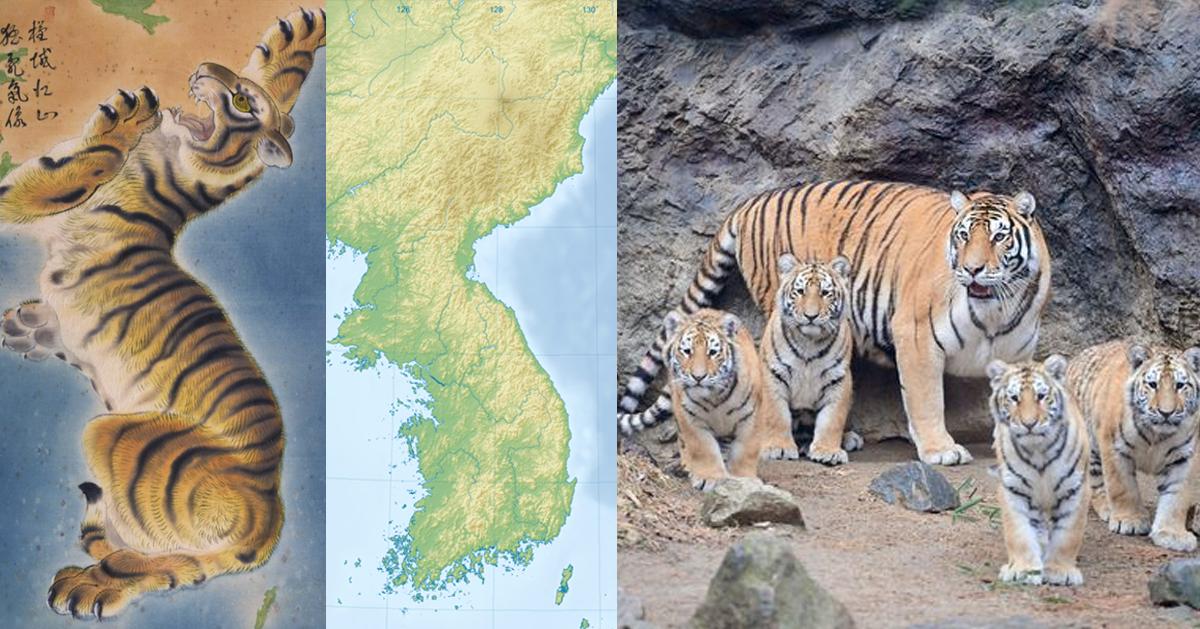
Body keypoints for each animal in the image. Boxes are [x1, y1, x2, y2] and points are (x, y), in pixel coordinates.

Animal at [0, 9, 324, 619]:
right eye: (236, 85)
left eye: (241, 101)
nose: (203, 68)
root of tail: (269, 519)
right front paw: (299, 38)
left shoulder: (39, 203)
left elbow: (77, 168)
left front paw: (125, 117)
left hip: (115, 436)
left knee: (146, 557)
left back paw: (89, 588)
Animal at [619, 309, 770, 490]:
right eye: (687, 351)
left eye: (712, 352)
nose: (698, 377)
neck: (715, 397)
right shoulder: (689, 418)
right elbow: (702, 448)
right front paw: (709, 478)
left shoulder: (752, 417)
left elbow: (746, 450)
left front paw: (744, 479)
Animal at [759, 254, 861, 465]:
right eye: (800, 292)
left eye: (825, 293)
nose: (811, 316)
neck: (809, 342)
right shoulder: (773, 374)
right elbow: (776, 416)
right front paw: (778, 448)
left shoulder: (838, 379)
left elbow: (832, 419)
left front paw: (828, 451)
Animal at [987, 355, 1090, 586]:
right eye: (1014, 398)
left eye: (1041, 396)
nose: (1029, 424)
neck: (1038, 451)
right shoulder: (1013, 489)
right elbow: (1019, 533)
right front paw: (1024, 570)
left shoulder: (1075, 489)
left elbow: (1068, 535)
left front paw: (1060, 571)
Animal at [1065, 340, 1200, 552]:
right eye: (1153, 385)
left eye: (1180, 386)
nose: (1166, 412)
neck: (1157, 434)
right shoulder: (1114, 447)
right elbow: (1122, 487)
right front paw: (1130, 521)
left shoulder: (1184, 457)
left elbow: (1176, 497)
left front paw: (1172, 534)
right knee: (1095, 482)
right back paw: (1106, 507)